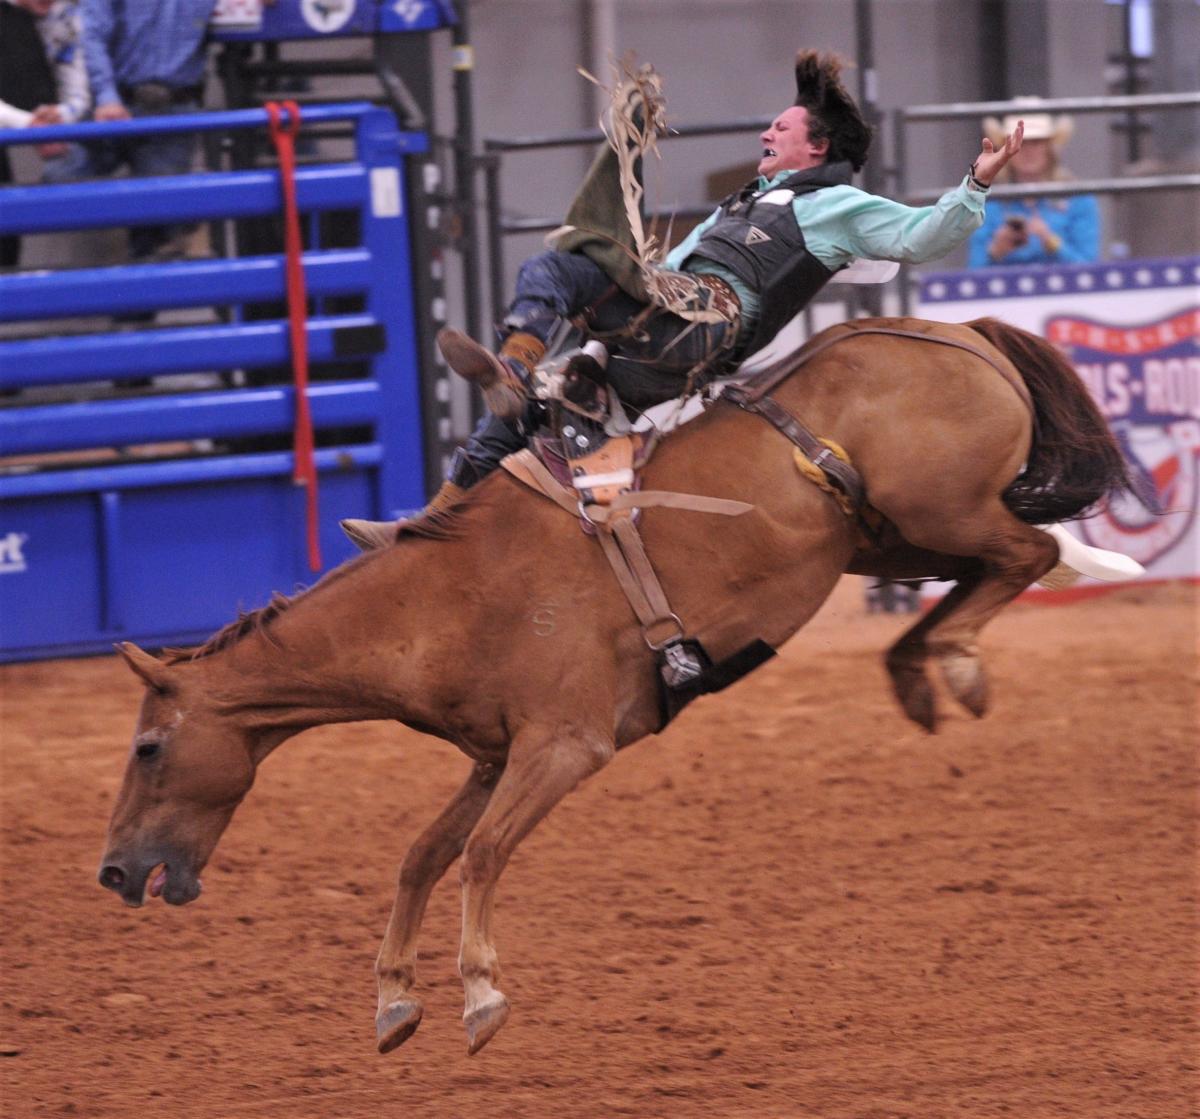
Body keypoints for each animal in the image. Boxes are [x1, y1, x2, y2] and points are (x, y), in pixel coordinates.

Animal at [98, 316, 1128, 1056]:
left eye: (147, 747)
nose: (113, 871)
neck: (446, 595)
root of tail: (955, 332)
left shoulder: (565, 747)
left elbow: (481, 855)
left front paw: (481, 995)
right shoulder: (493, 757)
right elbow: (423, 855)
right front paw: (393, 1001)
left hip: (938, 511)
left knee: (1026, 553)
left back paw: (961, 655)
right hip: (887, 538)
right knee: (992, 568)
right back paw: (933, 662)